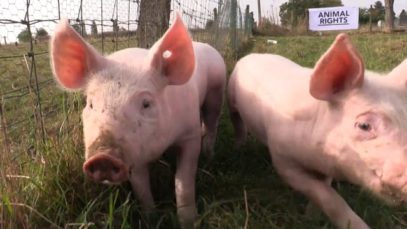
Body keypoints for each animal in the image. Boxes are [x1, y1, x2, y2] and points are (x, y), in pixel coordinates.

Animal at [50, 14, 226, 229]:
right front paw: (151, 219)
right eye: (90, 104)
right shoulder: (133, 154)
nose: (103, 157)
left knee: (212, 123)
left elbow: (183, 181)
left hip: (216, 92)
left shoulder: (189, 135)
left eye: (146, 103)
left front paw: (189, 222)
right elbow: (142, 188)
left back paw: (209, 155)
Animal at [228, 33, 407, 228]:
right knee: (236, 120)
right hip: (231, 97)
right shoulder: (282, 159)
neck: (318, 157)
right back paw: (238, 146)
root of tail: (252, 55)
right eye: (364, 125)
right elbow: (328, 196)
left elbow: (325, 188)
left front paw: (311, 216)